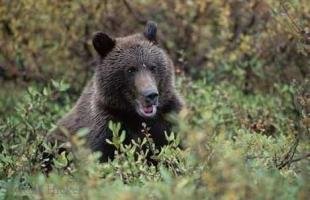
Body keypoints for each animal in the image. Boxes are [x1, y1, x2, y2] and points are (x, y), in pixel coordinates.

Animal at [48, 21, 183, 162]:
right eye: (130, 69)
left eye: (153, 67)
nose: (150, 95)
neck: (137, 117)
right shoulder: (107, 128)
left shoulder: (169, 118)